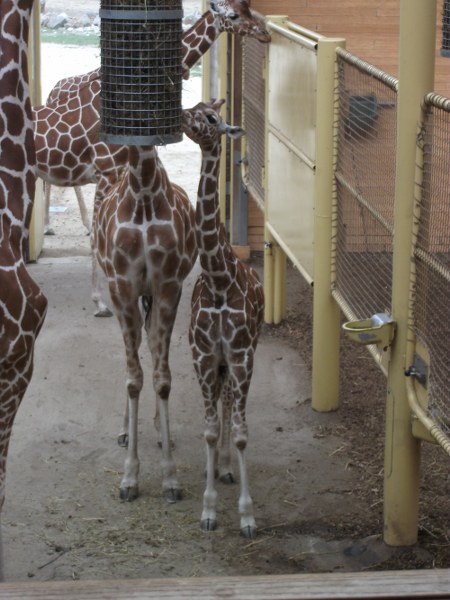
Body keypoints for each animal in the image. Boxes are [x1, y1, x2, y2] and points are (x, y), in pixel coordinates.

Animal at [38, 0, 271, 276]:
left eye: (247, 7)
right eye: (233, 15)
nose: (265, 33)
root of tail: (52, 90)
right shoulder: (107, 170)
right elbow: (101, 239)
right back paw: (49, 227)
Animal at [93, 142, 197, 502]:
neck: (143, 194)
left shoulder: (168, 285)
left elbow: (162, 378)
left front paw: (170, 479)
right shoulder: (122, 286)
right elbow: (133, 379)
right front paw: (129, 478)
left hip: (153, 295)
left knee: (150, 344)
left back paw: (159, 432)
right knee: (137, 349)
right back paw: (125, 430)